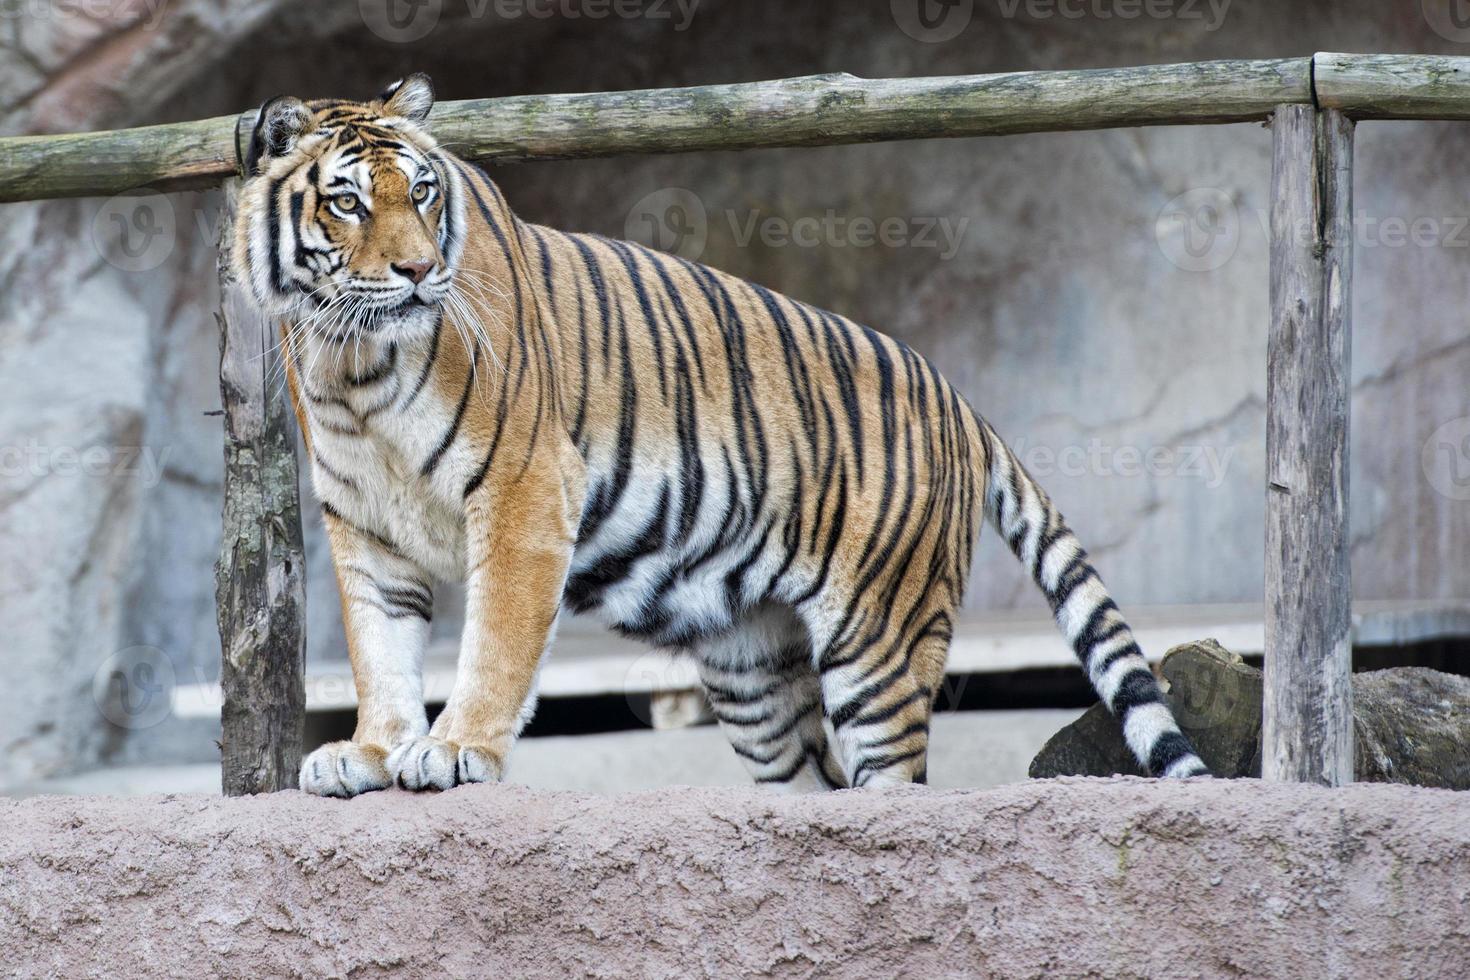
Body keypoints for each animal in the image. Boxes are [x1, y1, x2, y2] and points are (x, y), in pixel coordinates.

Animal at [232, 74, 1205, 799]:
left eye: (424, 192)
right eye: (349, 202)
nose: (420, 270)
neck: (352, 365)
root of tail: (960, 401)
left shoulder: (523, 491)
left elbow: (497, 642)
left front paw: (455, 748)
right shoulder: (367, 524)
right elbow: (379, 647)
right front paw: (370, 751)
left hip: (880, 641)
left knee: (897, 785)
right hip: (753, 670)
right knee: (809, 784)